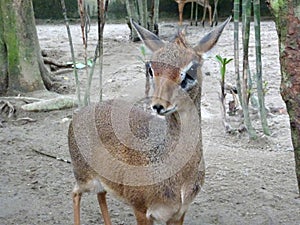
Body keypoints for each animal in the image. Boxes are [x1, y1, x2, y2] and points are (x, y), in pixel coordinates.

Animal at [68, 17, 231, 225]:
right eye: (151, 68)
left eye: (192, 68)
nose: (159, 105)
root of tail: (78, 114)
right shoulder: (140, 209)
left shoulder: (179, 213)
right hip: (85, 178)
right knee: (75, 193)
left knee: (100, 195)